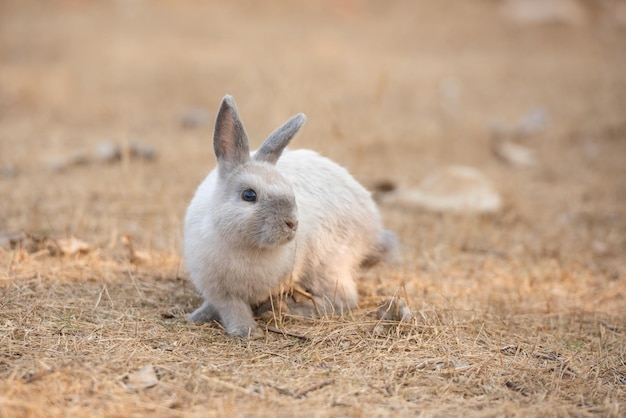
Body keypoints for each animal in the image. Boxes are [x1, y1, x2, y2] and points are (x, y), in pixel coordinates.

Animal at [183, 94, 398, 336]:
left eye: (290, 189)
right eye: (249, 195)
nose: (292, 223)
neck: (246, 246)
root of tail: (373, 229)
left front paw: (249, 331)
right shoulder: (221, 292)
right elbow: (229, 308)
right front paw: (205, 319)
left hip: (327, 264)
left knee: (343, 300)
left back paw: (289, 309)